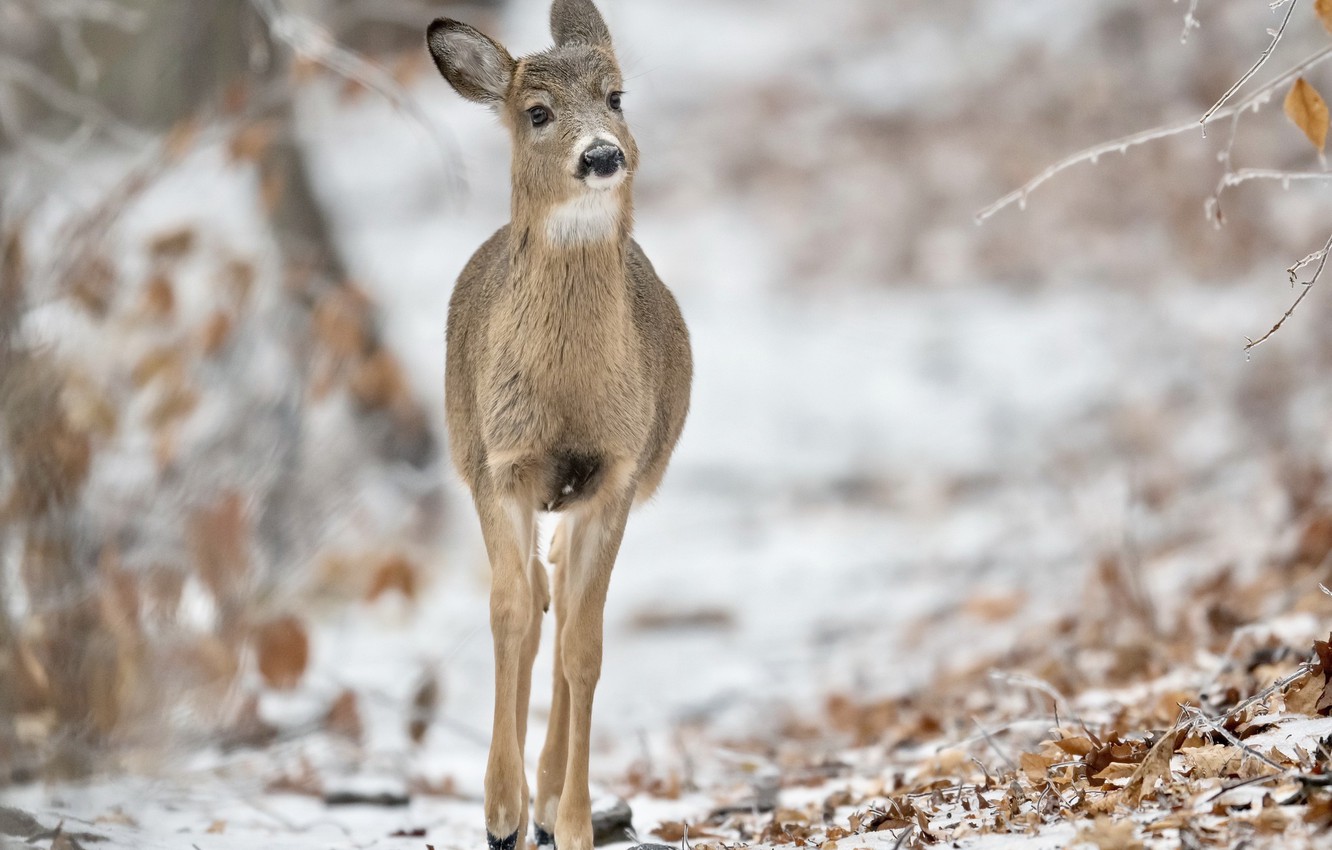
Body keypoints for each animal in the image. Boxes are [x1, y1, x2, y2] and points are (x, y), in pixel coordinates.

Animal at [425, 3, 692, 850]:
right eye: (537, 112)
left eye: (616, 96)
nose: (603, 154)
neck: (568, 392)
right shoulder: (498, 464)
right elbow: (510, 616)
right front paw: (497, 810)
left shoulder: (616, 472)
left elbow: (586, 645)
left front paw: (568, 821)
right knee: (537, 604)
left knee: (566, 612)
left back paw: (547, 802)